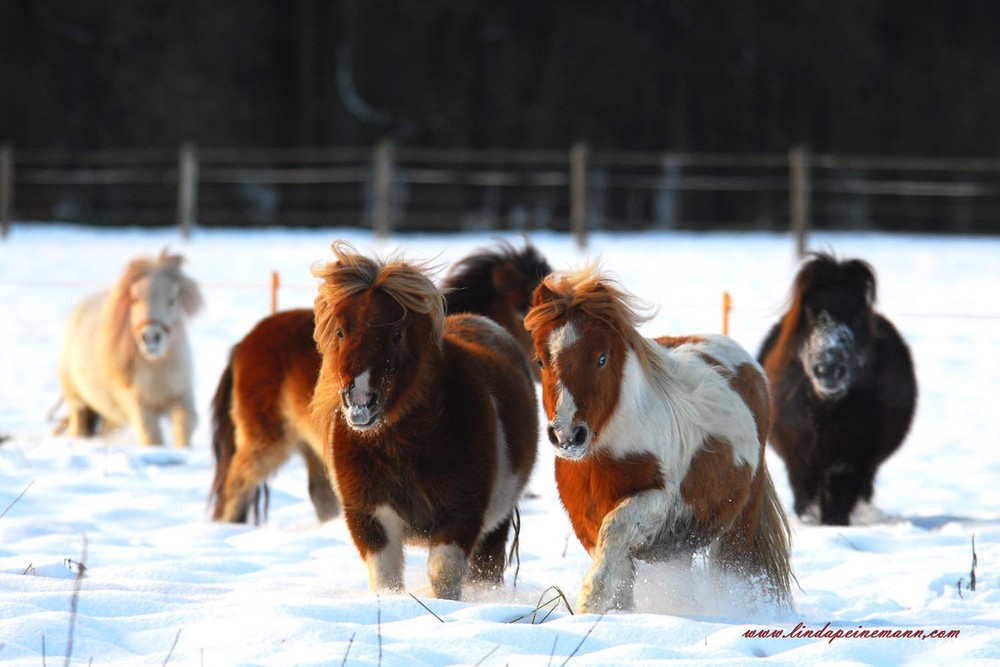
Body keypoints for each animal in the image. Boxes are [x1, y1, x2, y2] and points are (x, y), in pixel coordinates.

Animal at [56, 250, 203, 448]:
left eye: (172, 299)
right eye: (134, 298)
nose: (151, 337)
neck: (156, 368)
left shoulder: (181, 397)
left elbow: (184, 427)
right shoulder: (138, 405)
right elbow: (151, 438)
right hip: (77, 400)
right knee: (79, 425)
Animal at [310, 243, 540, 604]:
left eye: (397, 333)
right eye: (340, 331)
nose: (360, 402)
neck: (399, 445)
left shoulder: (461, 515)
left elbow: (443, 575)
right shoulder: (368, 516)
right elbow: (386, 579)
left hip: (496, 524)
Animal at [528, 268, 792, 612]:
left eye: (602, 358)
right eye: (540, 361)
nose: (568, 435)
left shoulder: (658, 503)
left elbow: (616, 528)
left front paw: (590, 599)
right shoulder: (585, 519)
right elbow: (619, 566)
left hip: (737, 525)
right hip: (683, 545)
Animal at [756, 253, 916, 524]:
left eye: (858, 314)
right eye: (810, 313)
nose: (829, 368)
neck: (827, 411)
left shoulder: (854, 457)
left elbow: (841, 496)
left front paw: (835, 523)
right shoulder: (800, 457)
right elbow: (805, 494)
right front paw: (810, 521)